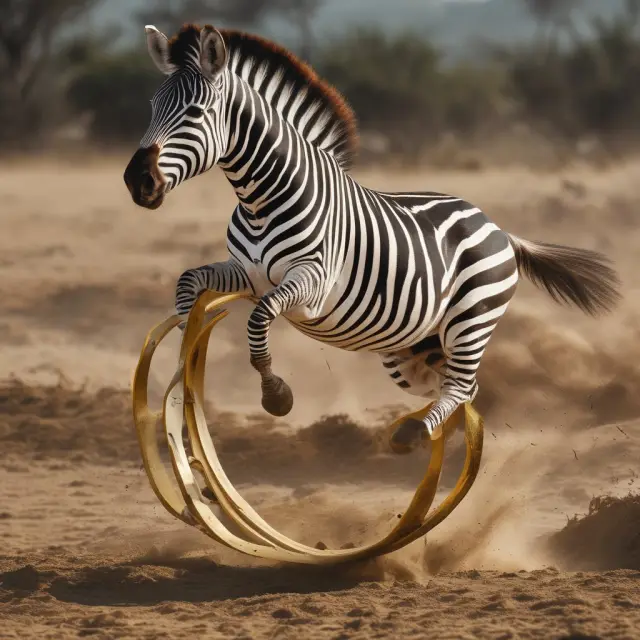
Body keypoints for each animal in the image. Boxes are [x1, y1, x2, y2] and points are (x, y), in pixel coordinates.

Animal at [124, 23, 621, 451]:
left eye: (195, 113)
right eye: (150, 107)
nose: (136, 181)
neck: (260, 200)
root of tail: (498, 227)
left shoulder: (311, 280)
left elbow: (259, 319)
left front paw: (276, 394)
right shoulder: (246, 273)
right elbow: (187, 282)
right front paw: (186, 356)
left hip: (471, 319)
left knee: (462, 384)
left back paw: (417, 433)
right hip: (415, 350)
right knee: (460, 386)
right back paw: (439, 433)